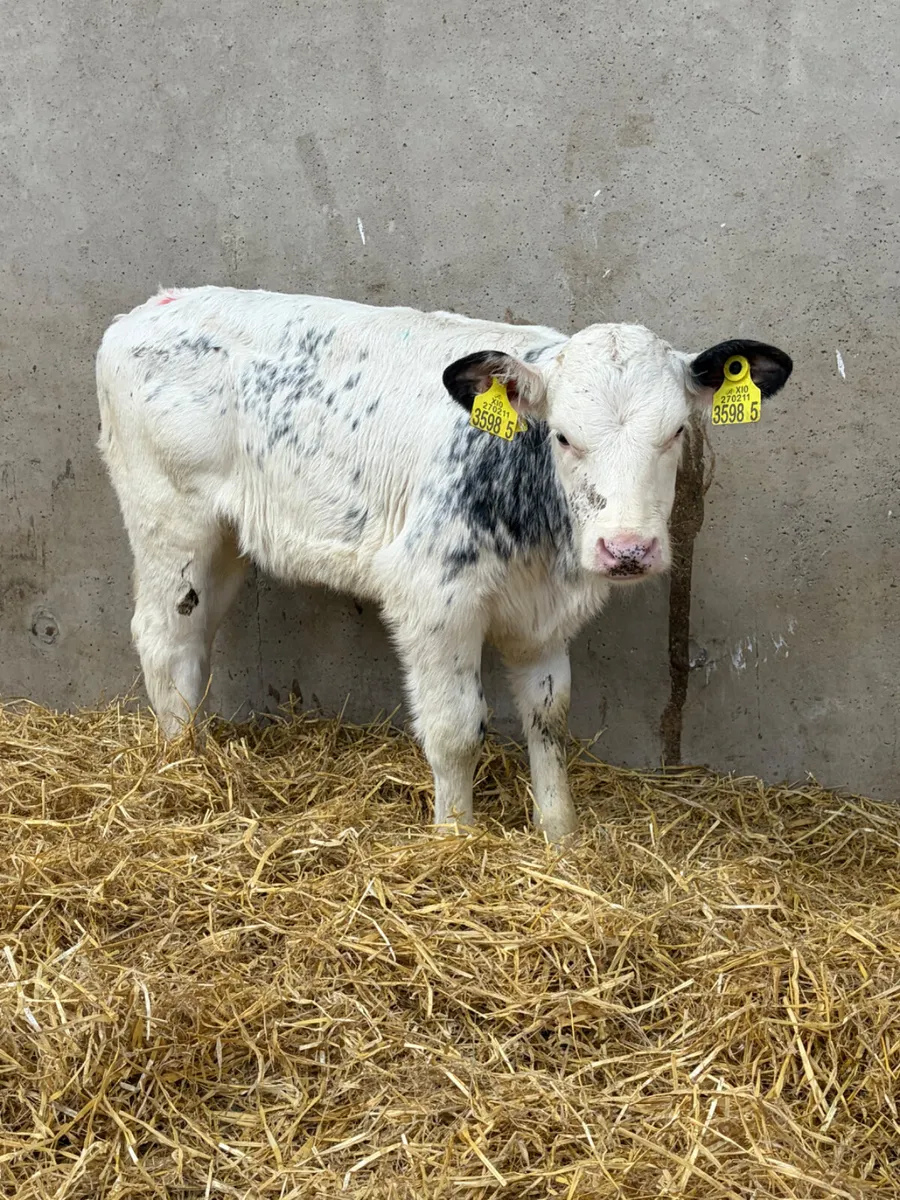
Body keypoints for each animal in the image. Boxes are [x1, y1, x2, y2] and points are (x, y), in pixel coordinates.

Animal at [96, 287, 792, 841]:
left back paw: (197, 748)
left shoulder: (543, 617)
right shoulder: (433, 598)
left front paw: (559, 835)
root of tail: (143, 311)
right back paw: (183, 766)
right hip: (170, 519)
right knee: (163, 637)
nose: (626, 549)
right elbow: (457, 727)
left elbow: (549, 716)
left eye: (676, 432)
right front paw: (456, 836)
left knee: (196, 638)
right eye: (564, 435)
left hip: (226, 538)